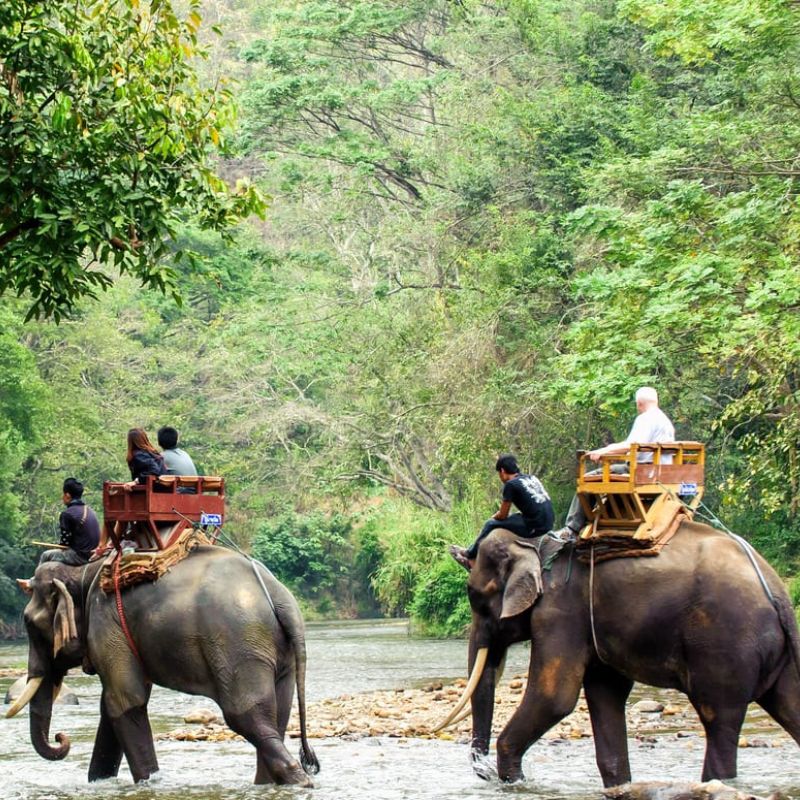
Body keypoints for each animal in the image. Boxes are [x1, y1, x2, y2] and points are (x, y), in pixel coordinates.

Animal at [6, 545, 319, 786]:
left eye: (29, 624)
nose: (60, 737)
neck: (84, 571)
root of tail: (280, 597)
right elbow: (113, 706)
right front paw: (99, 782)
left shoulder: (107, 625)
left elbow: (125, 701)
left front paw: (149, 782)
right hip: (275, 651)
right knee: (276, 714)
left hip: (238, 643)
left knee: (245, 716)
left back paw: (300, 781)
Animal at [447, 524, 800, 786]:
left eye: (473, 595)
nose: (485, 772)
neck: (534, 543)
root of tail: (778, 592)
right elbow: (606, 693)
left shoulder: (560, 612)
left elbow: (554, 698)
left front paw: (515, 781)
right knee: (788, 705)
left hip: (725, 647)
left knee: (719, 721)